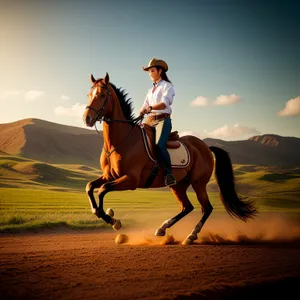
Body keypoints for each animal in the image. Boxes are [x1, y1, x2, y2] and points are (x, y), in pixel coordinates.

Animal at [82, 74, 258, 245]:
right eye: (89, 95)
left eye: (102, 95)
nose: (86, 118)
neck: (121, 141)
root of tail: (206, 147)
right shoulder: (110, 176)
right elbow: (90, 187)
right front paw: (105, 215)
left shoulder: (131, 180)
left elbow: (103, 189)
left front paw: (113, 220)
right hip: (178, 185)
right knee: (187, 207)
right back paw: (162, 229)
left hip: (198, 183)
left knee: (206, 208)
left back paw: (190, 236)